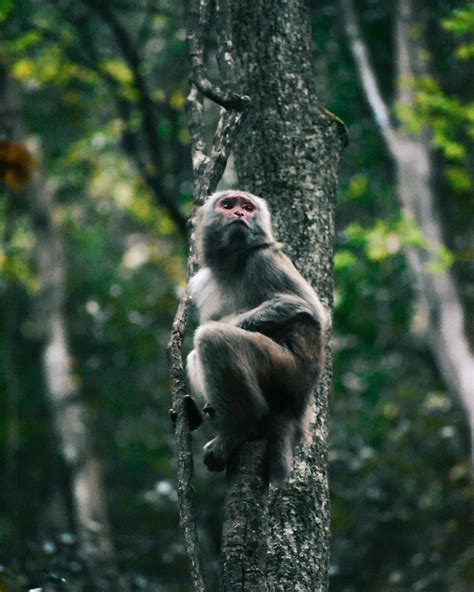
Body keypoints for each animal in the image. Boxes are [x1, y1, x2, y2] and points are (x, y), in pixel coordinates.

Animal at [187, 192, 328, 484]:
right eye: (228, 205)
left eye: (247, 207)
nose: (240, 214)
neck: (232, 262)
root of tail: (298, 410)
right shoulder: (201, 282)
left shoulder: (264, 258)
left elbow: (308, 308)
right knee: (196, 354)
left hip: (287, 374)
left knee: (211, 340)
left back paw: (239, 431)